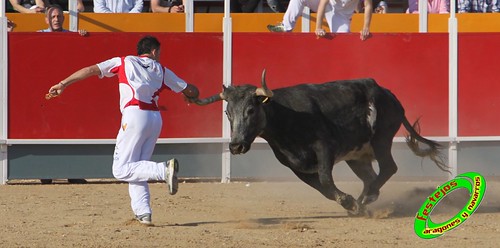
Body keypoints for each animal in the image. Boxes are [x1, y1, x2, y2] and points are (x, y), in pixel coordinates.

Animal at [189, 70, 448, 215]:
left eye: (251, 110)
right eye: (227, 113)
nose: (235, 146)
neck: (286, 118)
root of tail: (387, 94)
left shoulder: (325, 148)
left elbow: (324, 179)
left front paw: (349, 202)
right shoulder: (295, 165)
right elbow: (321, 188)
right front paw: (350, 203)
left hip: (381, 139)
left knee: (388, 168)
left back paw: (367, 198)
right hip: (357, 156)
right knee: (370, 176)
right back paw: (365, 200)